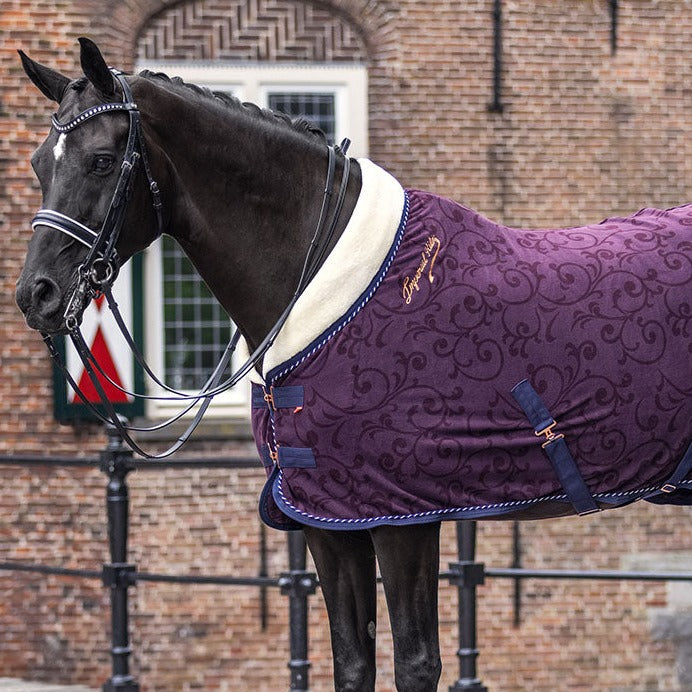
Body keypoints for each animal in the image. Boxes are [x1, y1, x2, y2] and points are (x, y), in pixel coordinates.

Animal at [15, 39, 692, 692]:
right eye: (40, 163)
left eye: (103, 160)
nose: (34, 294)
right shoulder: (327, 518)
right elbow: (352, 659)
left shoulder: (400, 514)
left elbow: (415, 662)